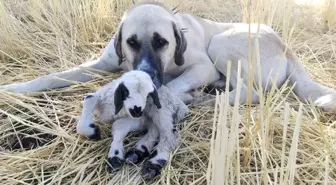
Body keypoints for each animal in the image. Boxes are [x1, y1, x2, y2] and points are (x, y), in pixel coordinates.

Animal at [1, 1, 334, 112]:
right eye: (131, 42)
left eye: (162, 42)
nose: (146, 75)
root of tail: (287, 47)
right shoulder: (98, 65)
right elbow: (51, 77)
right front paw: (14, 89)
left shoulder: (202, 67)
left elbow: (170, 86)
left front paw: (170, 96)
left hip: (221, 45)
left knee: (248, 92)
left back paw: (203, 98)